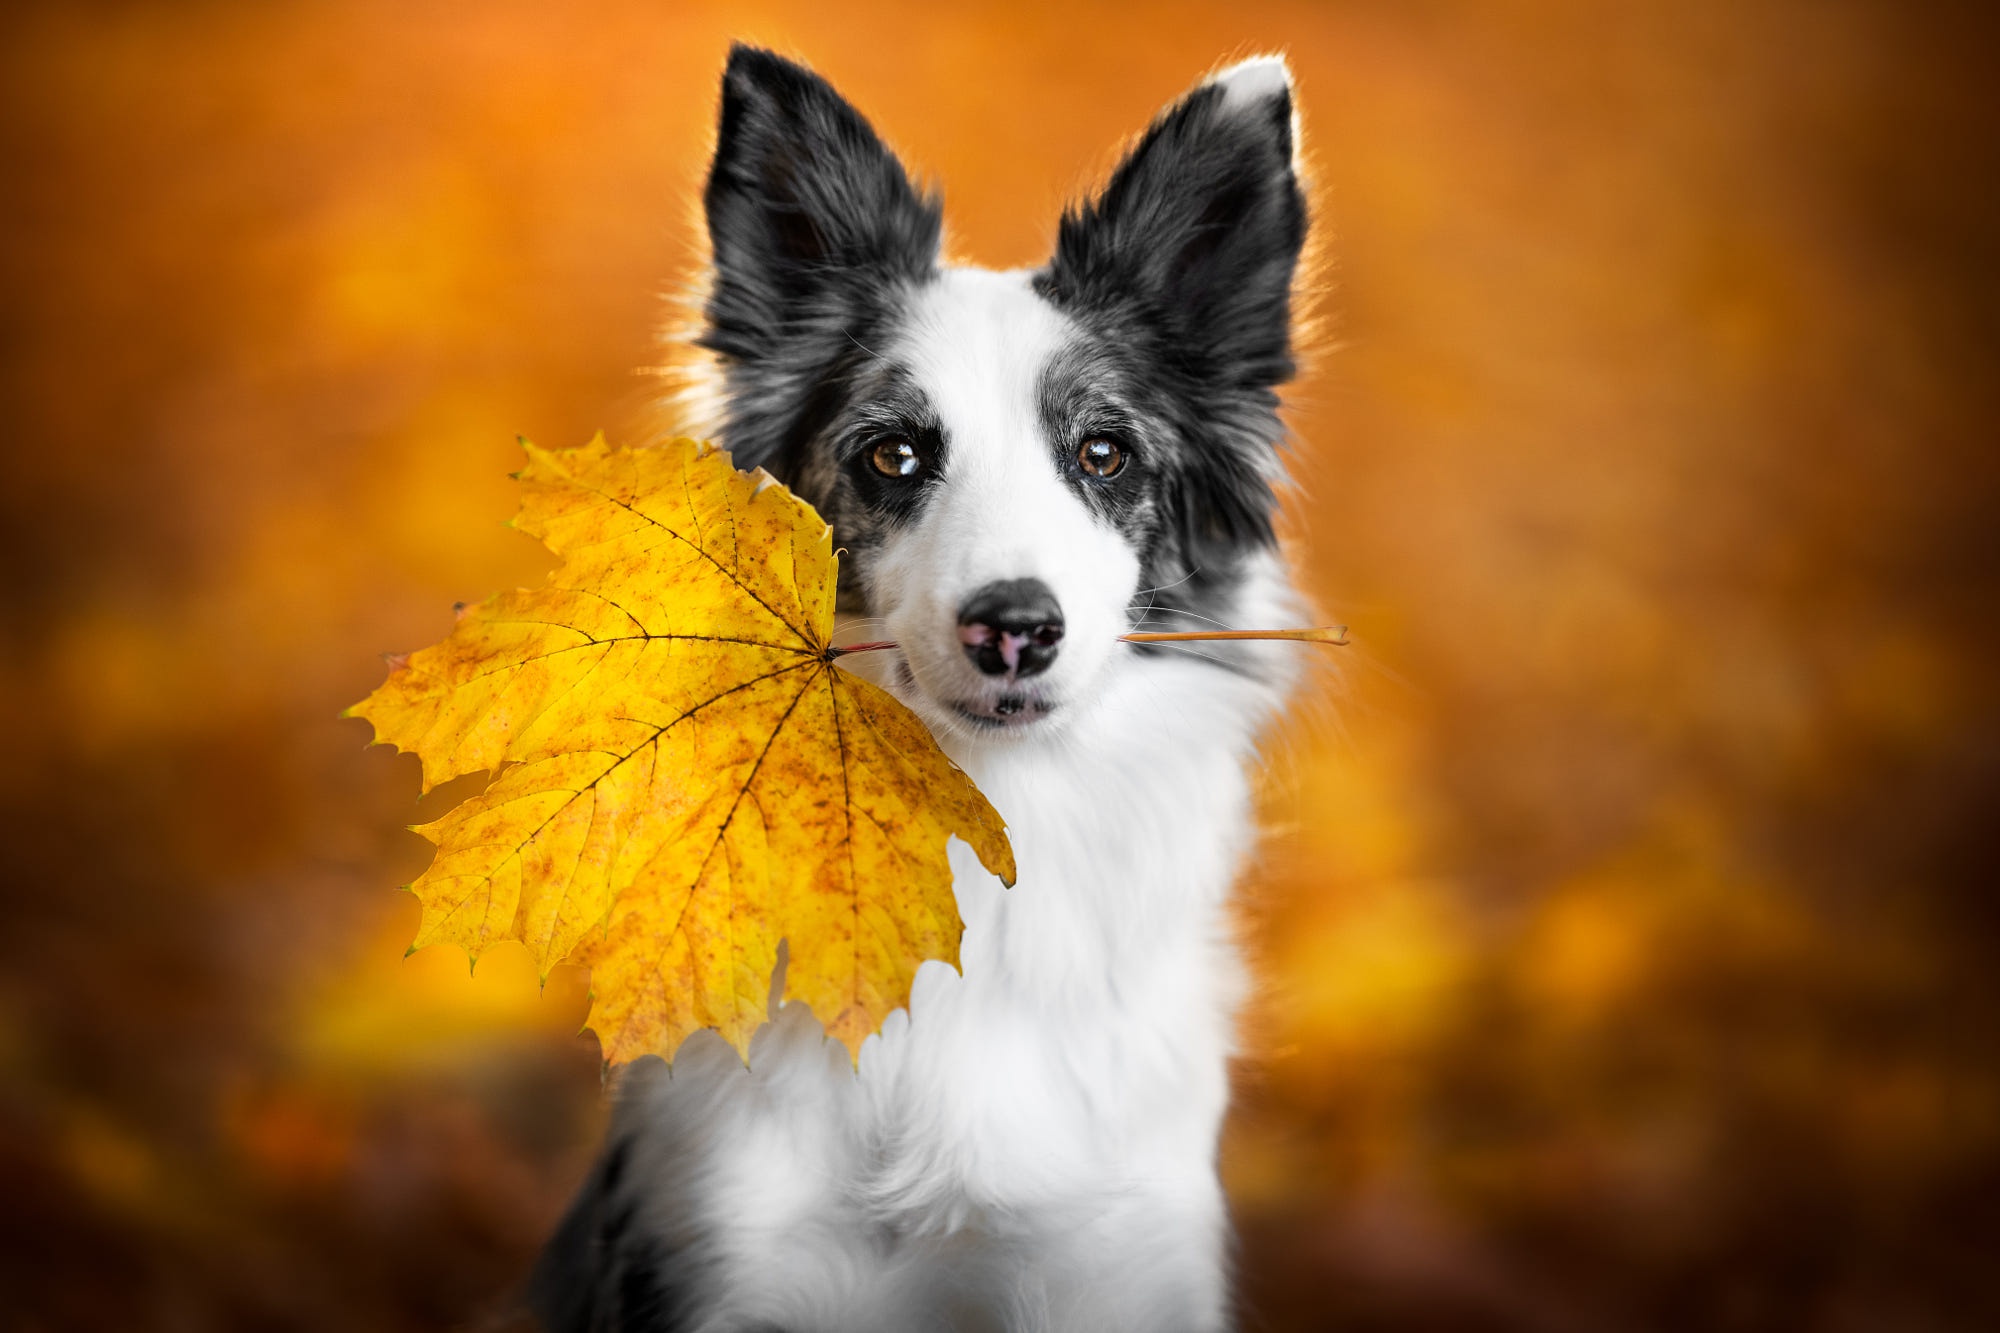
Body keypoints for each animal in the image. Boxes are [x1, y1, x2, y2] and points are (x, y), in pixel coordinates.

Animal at [532, 41, 1312, 1328]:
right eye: (892, 454)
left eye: (1103, 453)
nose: (1014, 629)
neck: (988, 840)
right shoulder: (720, 1252)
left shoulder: (1112, 1258)